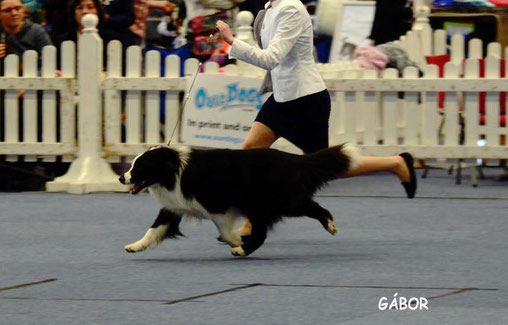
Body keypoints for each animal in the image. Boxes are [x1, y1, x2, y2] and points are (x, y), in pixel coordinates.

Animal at [119, 144, 362, 256]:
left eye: (139, 167)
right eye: (133, 165)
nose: (122, 177)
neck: (173, 170)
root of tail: (295, 159)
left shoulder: (219, 206)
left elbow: (226, 231)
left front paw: (237, 241)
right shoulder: (174, 206)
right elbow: (154, 228)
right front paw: (136, 245)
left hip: (277, 202)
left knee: (313, 210)